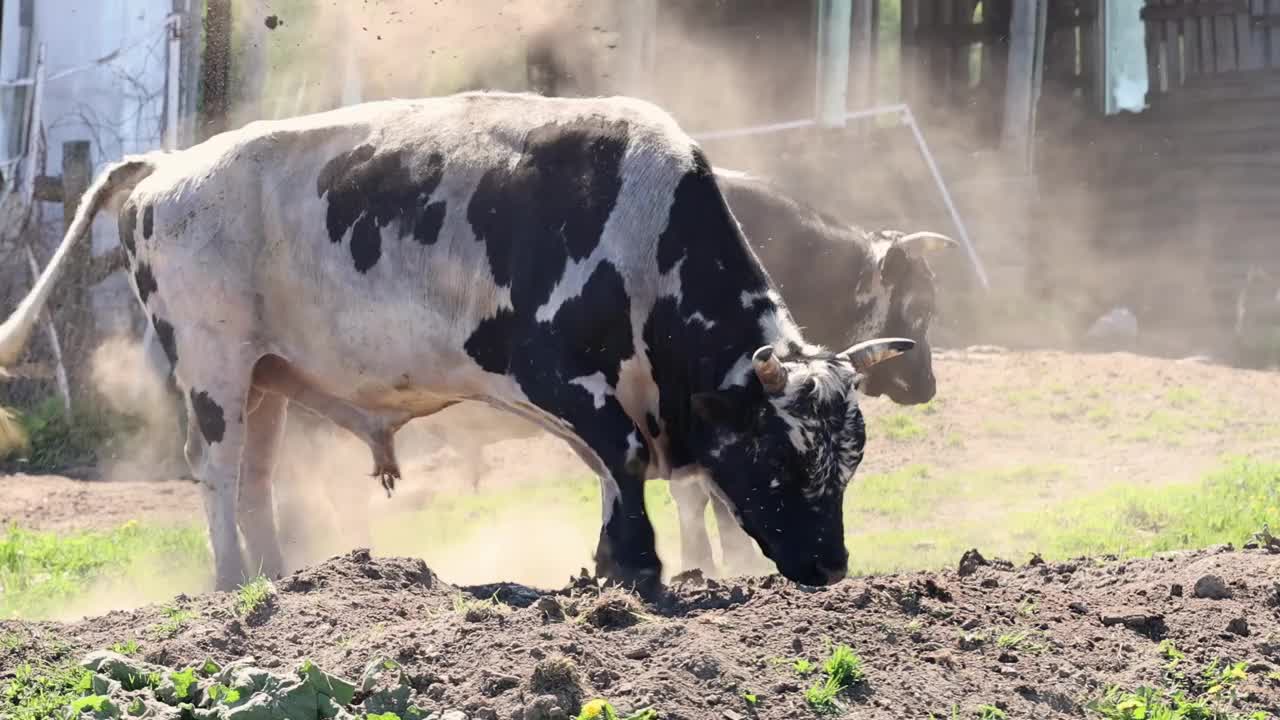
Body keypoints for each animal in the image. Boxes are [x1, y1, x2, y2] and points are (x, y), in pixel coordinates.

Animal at [5, 90, 916, 594]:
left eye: (850, 464)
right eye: (784, 459)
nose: (832, 567)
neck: (638, 234)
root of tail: (169, 164)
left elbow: (622, 471)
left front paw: (614, 561)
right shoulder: (553, 372)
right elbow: (622, 457)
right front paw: (636, 569)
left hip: (265, 376)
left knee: (256, 475)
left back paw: (280, 579)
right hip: (213, 366)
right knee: (219, 471)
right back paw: (232, 583)